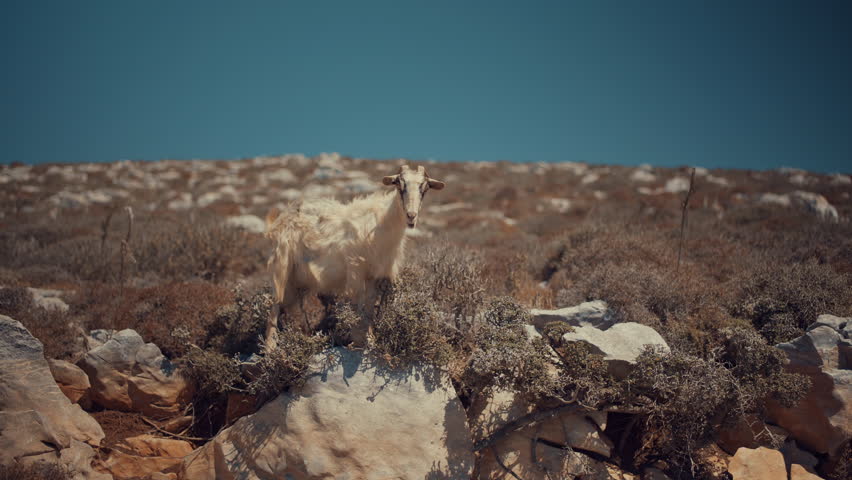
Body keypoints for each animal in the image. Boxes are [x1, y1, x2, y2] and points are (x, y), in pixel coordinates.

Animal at [264, 164, 445, 347]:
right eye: (399, 184)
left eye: (425, 188)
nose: (411, 216)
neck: (383, 224)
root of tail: (282, 216)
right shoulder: (355, 268)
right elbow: (358, 307)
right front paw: (359, 339)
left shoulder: (374, 274)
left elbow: (370, 308)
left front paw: (370, 339)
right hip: (281, 264)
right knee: (274, 305)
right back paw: (270, 347)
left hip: (298, 279)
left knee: (294, 309)